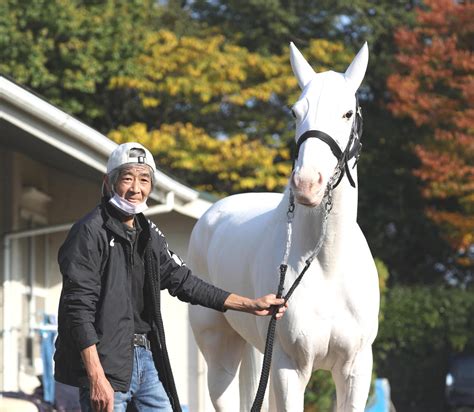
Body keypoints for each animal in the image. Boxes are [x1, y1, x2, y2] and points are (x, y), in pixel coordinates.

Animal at [187, 42, 380, 412]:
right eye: (294, 112)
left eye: (348, 113)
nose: (307, 184)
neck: (325, 265)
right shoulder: (288, 368)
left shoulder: (355, 369)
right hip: (221, 355)